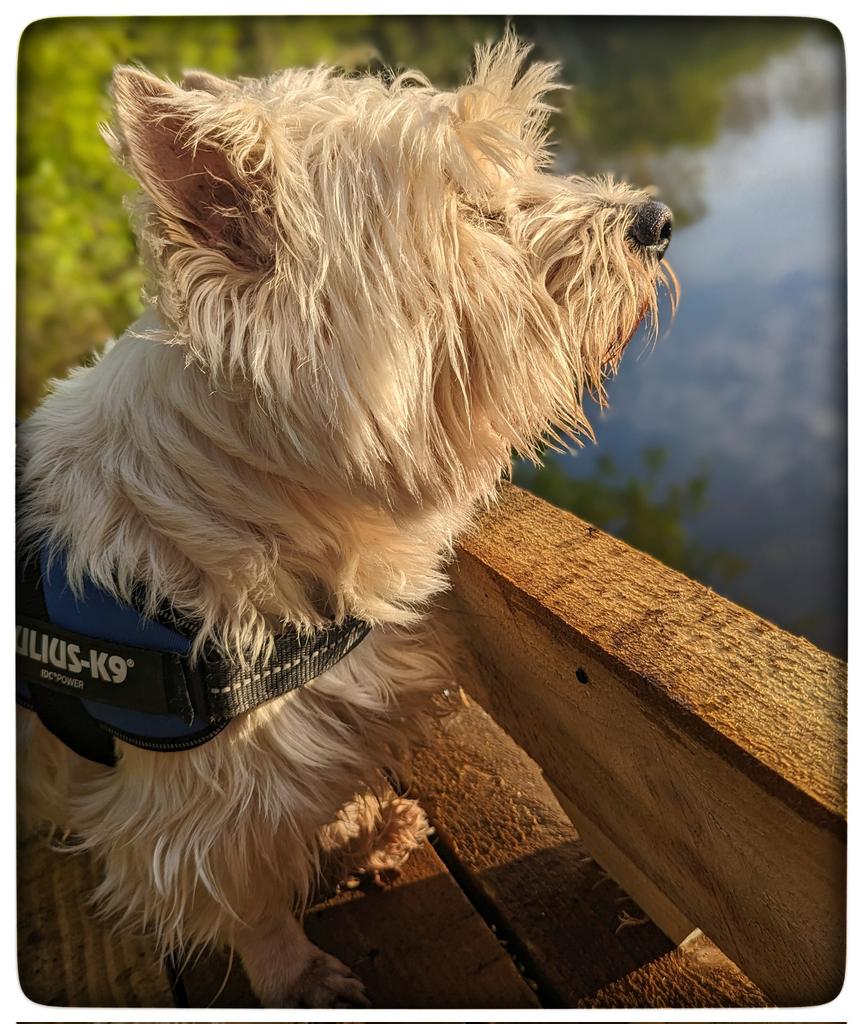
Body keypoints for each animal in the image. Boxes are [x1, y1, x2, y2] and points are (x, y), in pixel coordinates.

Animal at [15, 34, 675, 1007]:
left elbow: (312, 797)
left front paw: (355, 833)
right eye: (469, 209)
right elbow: (248, 897)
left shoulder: (321, 714)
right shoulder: (187, 809)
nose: (656, 220)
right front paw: (296, 975)